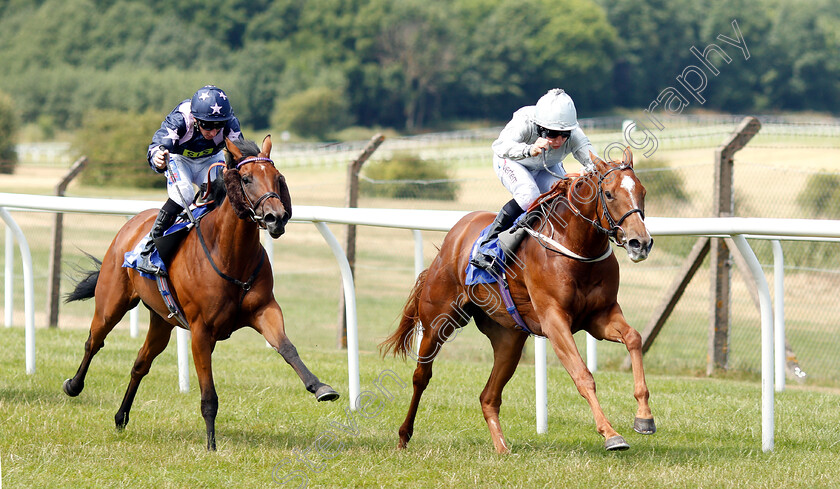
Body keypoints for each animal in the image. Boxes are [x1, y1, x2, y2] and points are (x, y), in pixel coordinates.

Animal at [63, 134, 338, 450]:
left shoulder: (263, 310)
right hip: (112, 302)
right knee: (94, 341)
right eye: (246, 179)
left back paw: (121, 417)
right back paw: (73, 385)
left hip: (162, 321)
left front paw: (320, 387)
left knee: (140, 363)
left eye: (277, 177)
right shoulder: (200, 331)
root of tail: (131, 225)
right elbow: (209, 395)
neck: (230, 256)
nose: (276, 217)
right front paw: (211, 445)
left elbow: (287, 347)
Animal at [382, 148, 656, 450]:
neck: (576, 246)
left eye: (642, 191)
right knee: (421, 377)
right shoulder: (554, 319)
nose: (640, 243)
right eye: (608, 193)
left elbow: (633, 338)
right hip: (437, 323)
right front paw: (610, 434)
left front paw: (644, 417)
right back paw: (403, 436)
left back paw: (502, 448)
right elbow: (582, 374)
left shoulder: (600, 316)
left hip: (509, 339)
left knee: (488, 397)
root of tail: (454, 237)